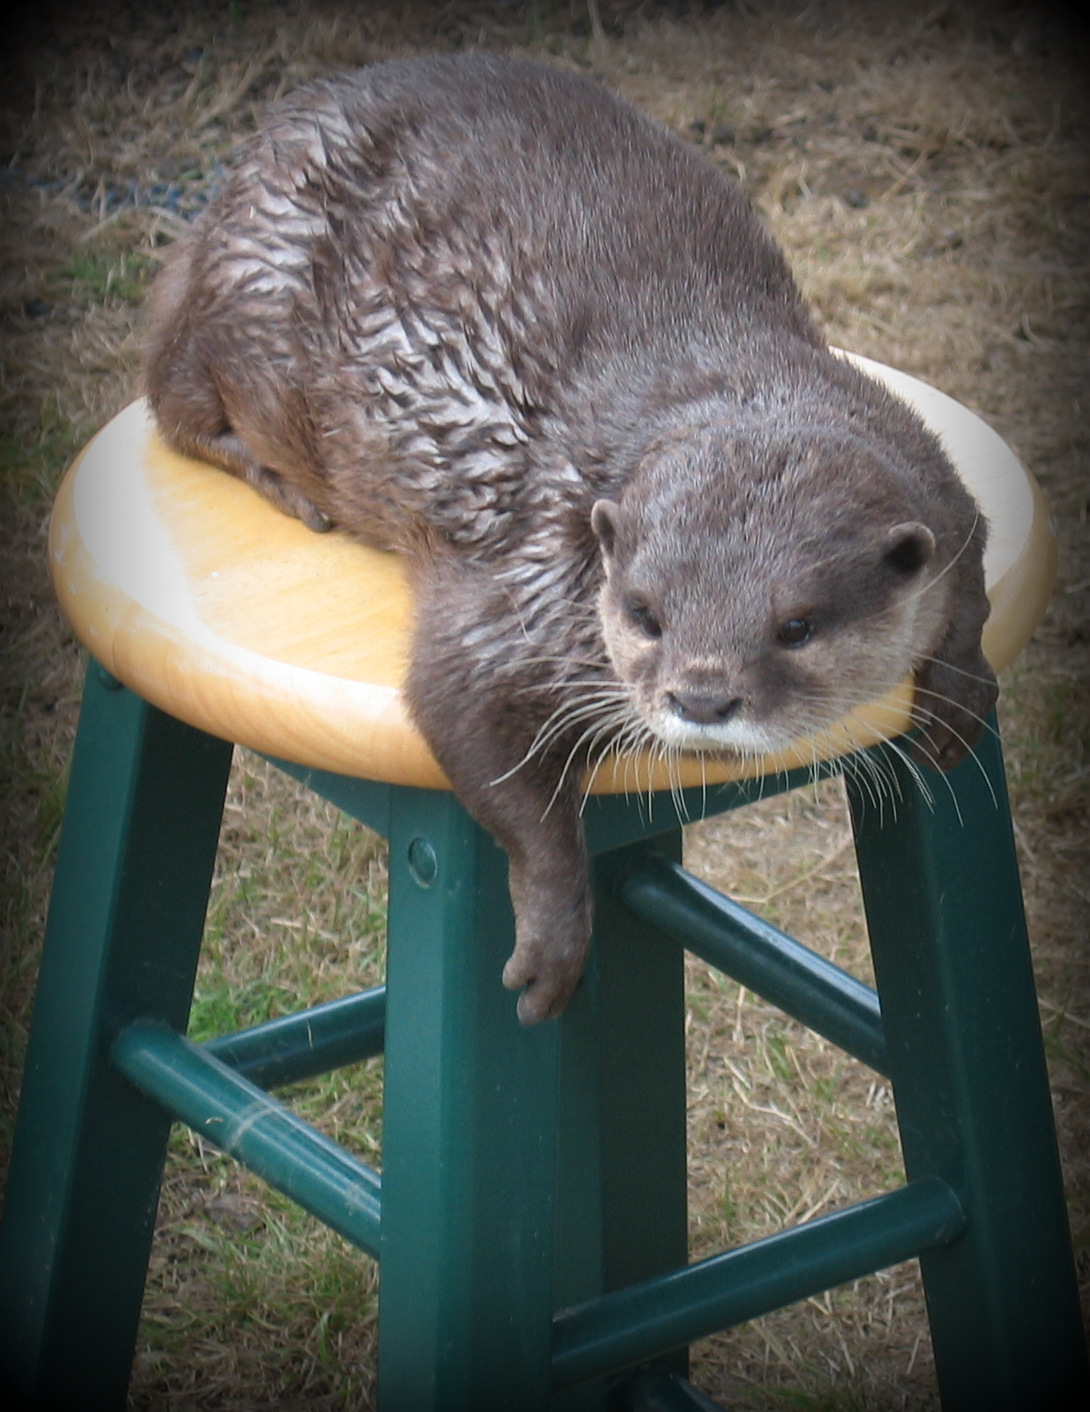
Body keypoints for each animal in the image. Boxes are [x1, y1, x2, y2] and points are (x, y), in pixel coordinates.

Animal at [142, 53, 997, 1023]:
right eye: (645, 613)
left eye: (797, 627)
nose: (702, 698)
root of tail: (239, 178)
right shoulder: (524, 590)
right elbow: (464, 721)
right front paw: (554, 939)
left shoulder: (941, 491)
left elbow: (972, 574)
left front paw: (962, 685)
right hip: (251, 291)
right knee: (172, 399)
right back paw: (277, 478)